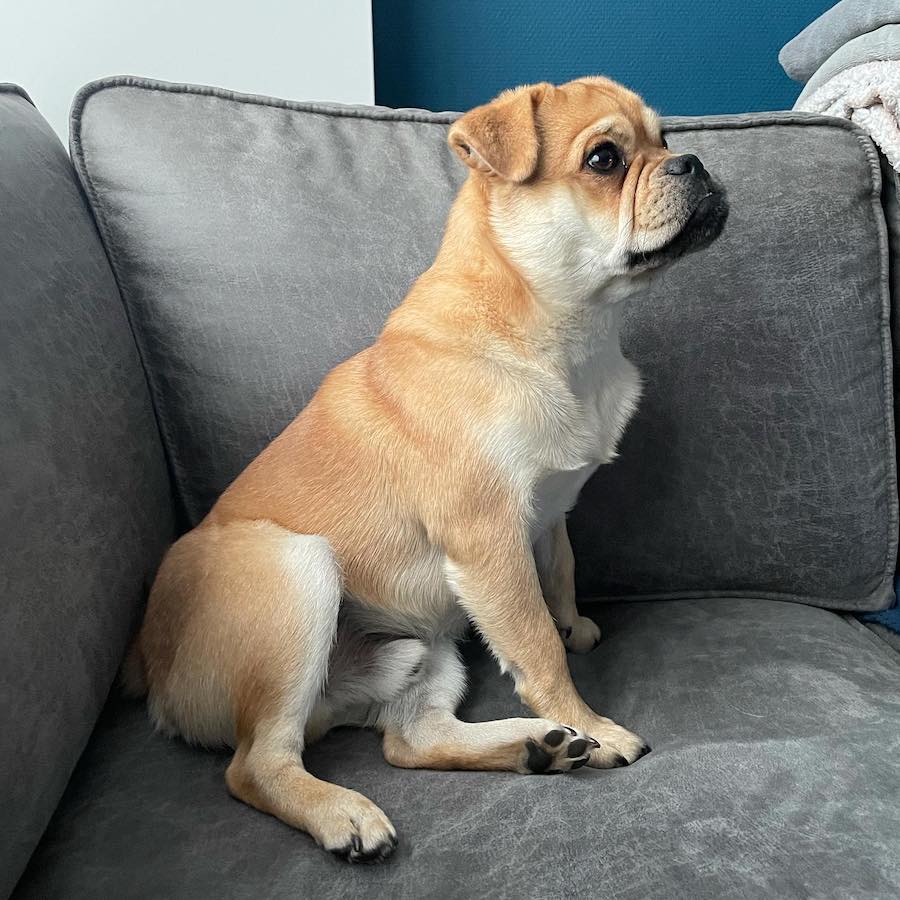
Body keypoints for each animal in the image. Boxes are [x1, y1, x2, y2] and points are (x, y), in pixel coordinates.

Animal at [125, 79, 724, 864]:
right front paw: (594, 723)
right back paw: (344, 811)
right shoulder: (490, 546)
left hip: (425, 652)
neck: (567, 333)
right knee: (257, 765)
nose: (693, 162)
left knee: (410, 742)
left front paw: (574, 632)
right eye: (604, 159)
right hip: (298, 575)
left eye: (666, 139)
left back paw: (535, 748)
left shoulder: (548, 517)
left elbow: (560, 571)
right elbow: (535, 645)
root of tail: (149, 665)